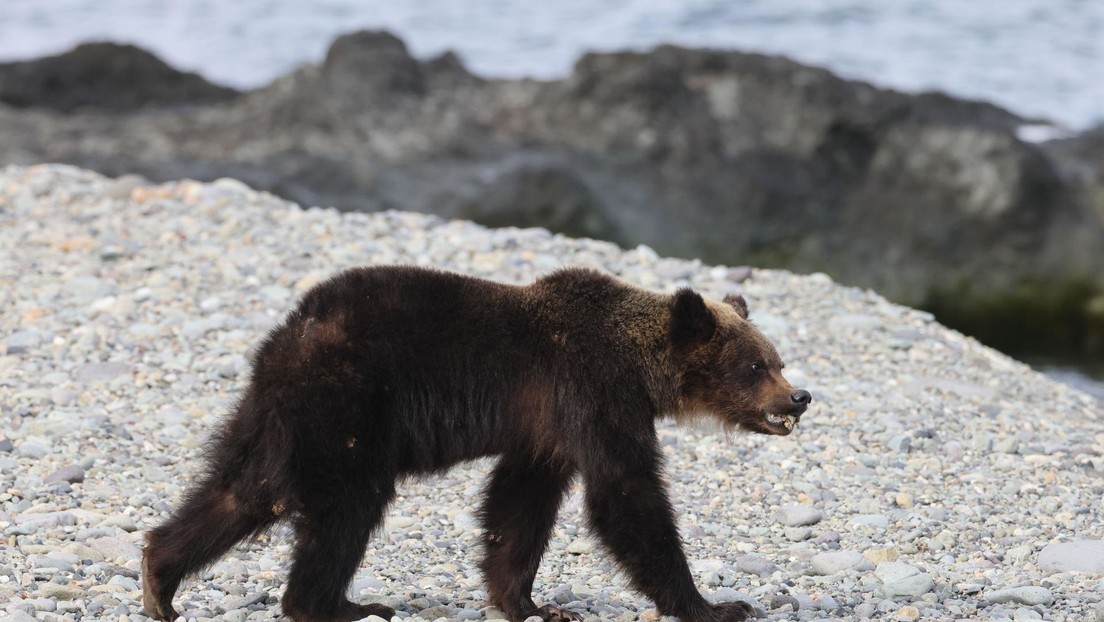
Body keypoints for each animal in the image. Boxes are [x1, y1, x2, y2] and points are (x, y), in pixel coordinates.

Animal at [141, 265, 811, 622]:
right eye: (756, 366)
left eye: (777, 360)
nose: (799, 396)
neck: (640, 365)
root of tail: (293, 331)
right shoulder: (592, 391)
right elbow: (626, 494)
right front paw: (714, 604)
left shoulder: (546, 430)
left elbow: (518, 507)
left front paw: (532, 603)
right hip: (348, 404)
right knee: (346, 507)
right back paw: (339, 606)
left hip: (276, 414)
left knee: (239, 492)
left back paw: (159, 577)